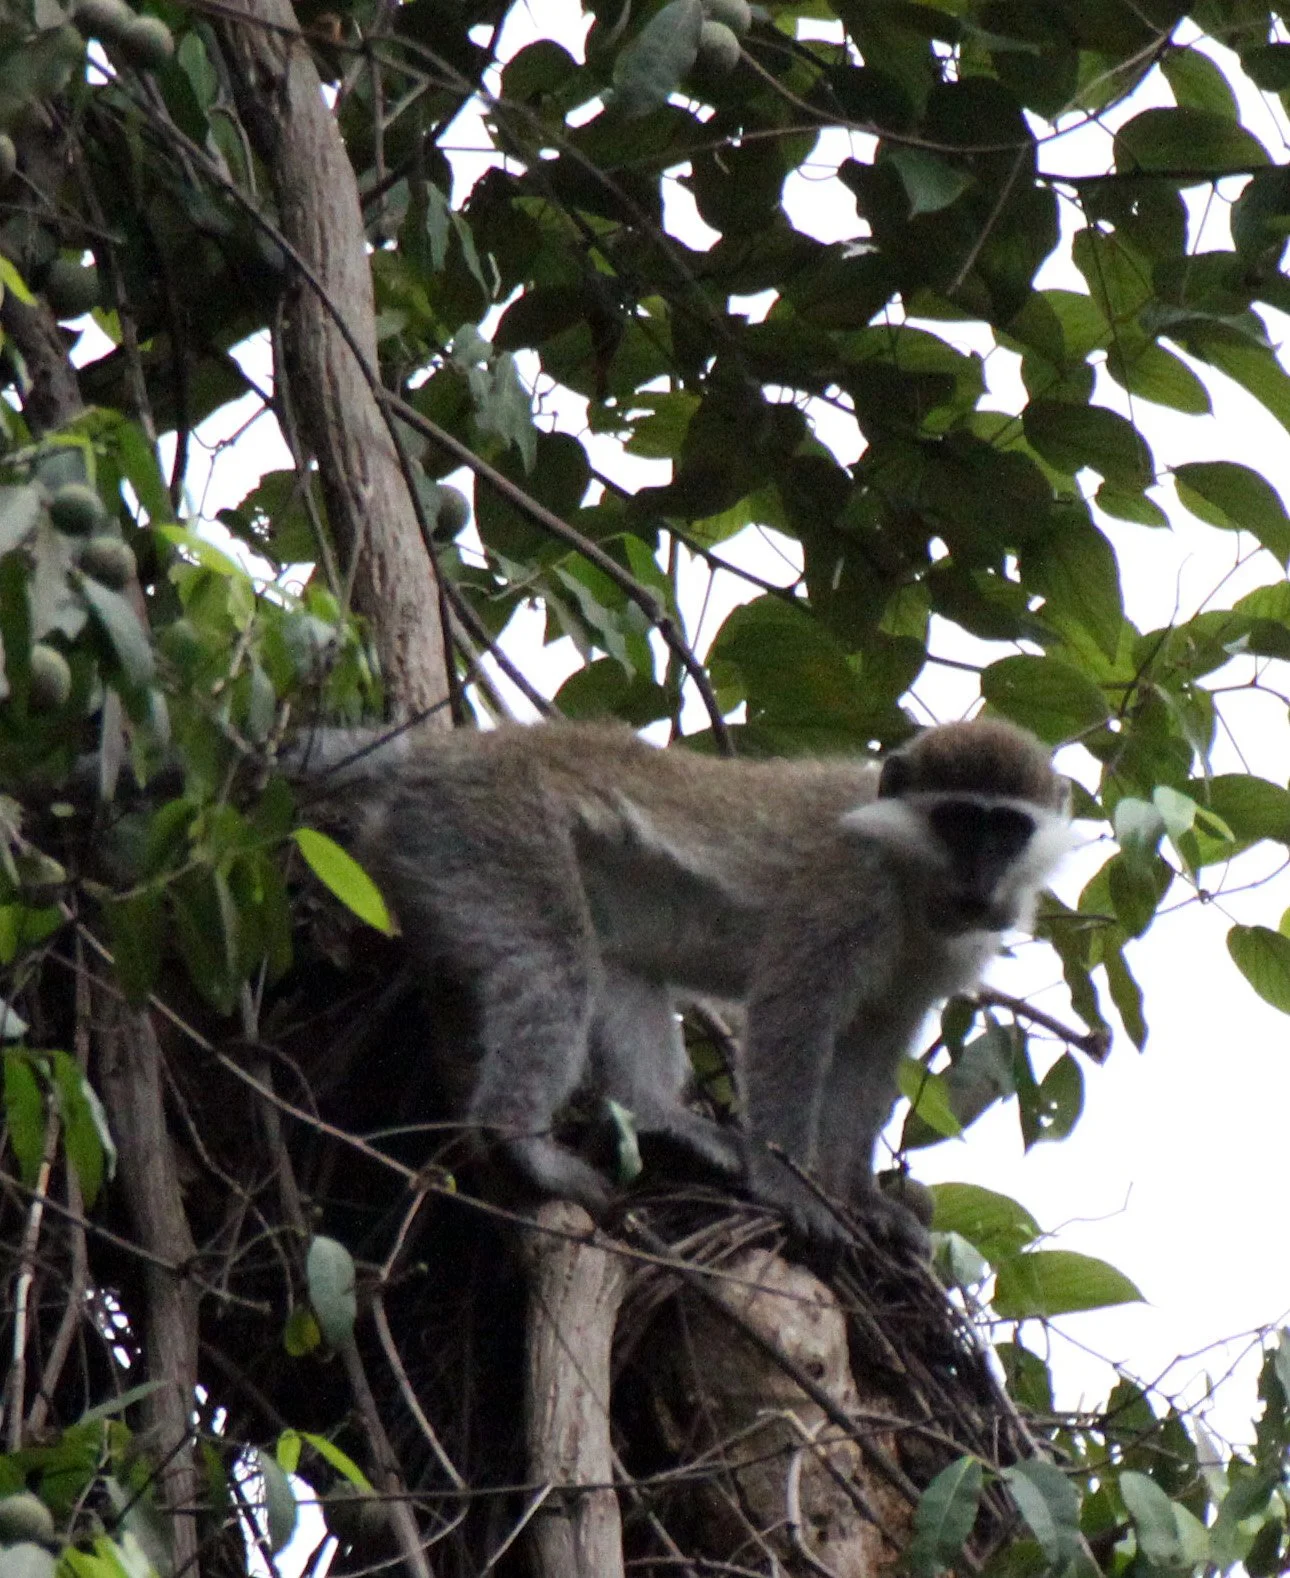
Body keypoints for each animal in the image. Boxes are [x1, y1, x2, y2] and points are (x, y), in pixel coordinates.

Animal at [292, 715, 1074, 1248]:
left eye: (1005, 830)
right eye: (959, 822)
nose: (982, 881)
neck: (916, 888)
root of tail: (447, 752)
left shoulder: (934, 961)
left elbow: (872, 1054)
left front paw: (860, 1197)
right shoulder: (847, 887)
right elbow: (792, 1018)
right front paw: (790, 1187)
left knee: (618, 966)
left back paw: (658, 1116)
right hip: (486, 831)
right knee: (555, 960)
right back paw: (520, 1139)